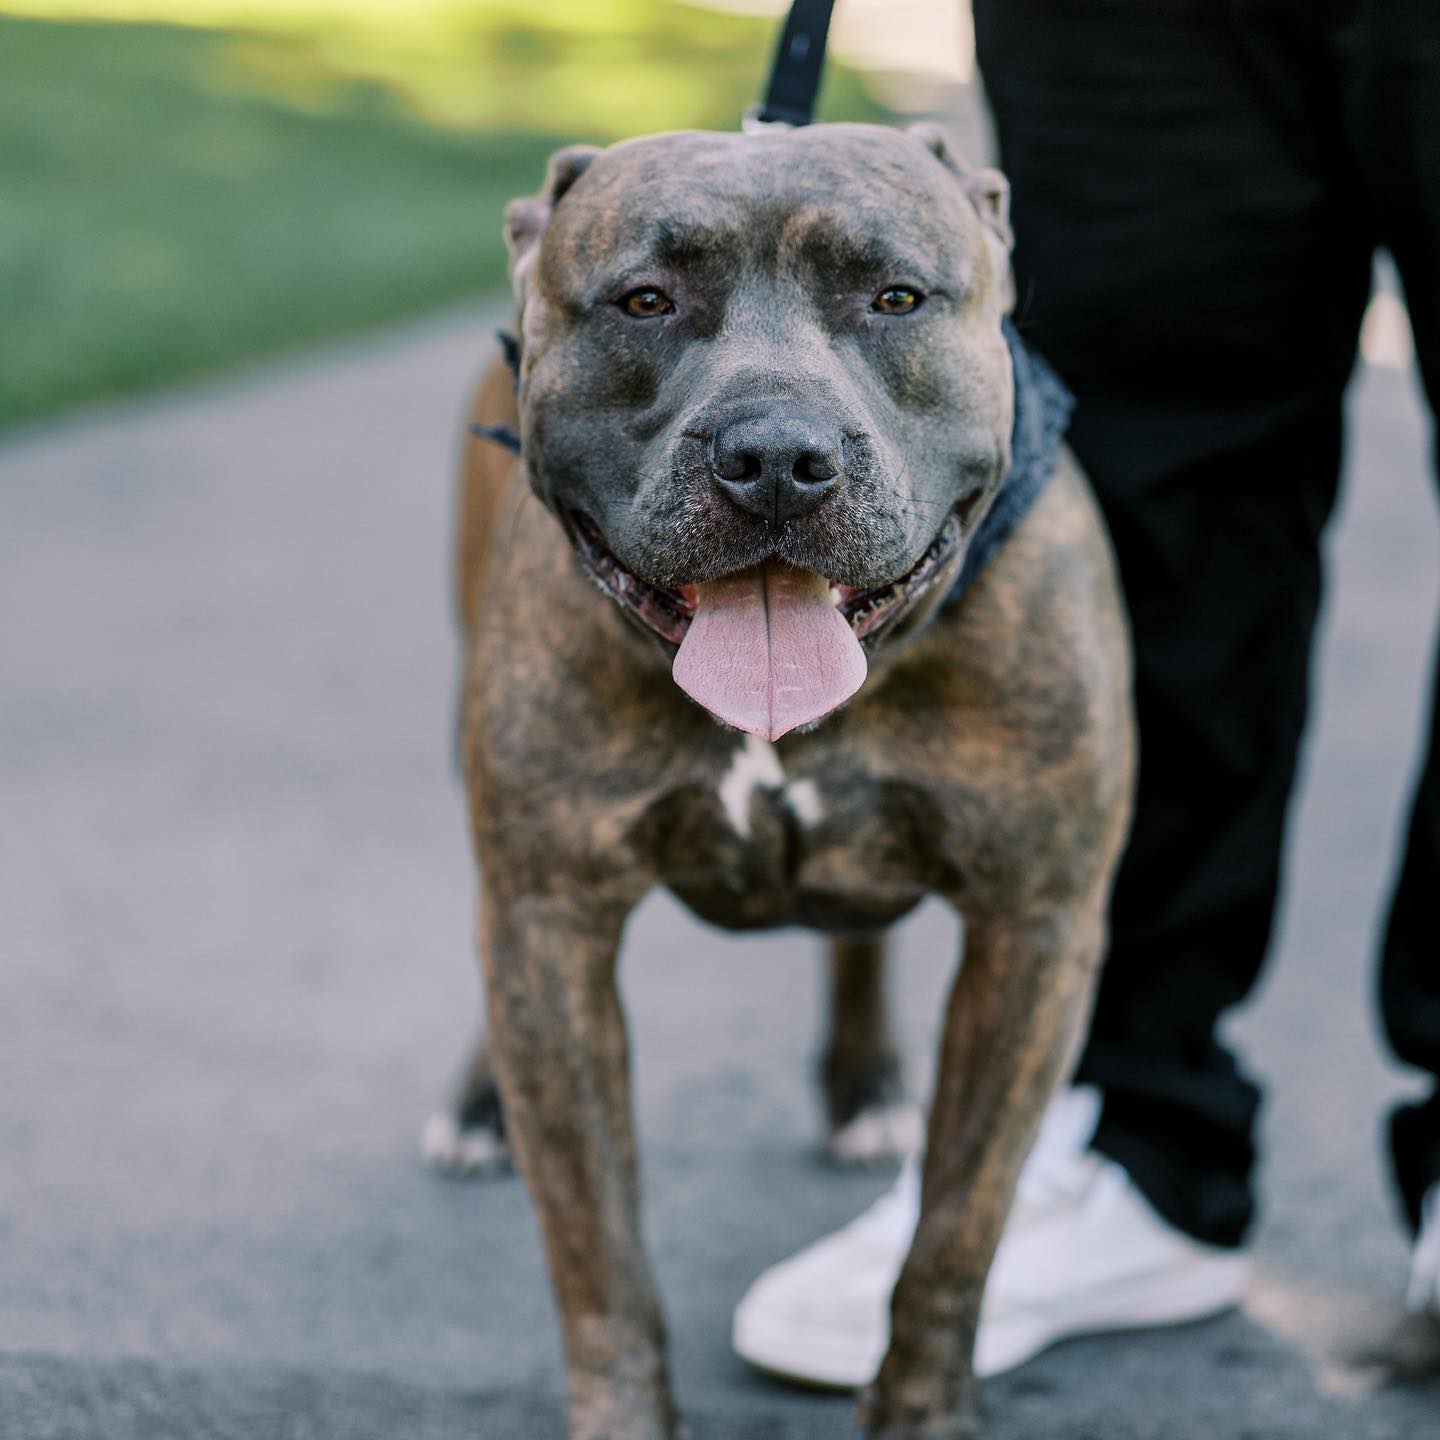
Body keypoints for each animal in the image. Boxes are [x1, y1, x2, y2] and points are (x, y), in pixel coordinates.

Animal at [437, 120, 1134, 1440]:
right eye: (646, 301)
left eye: (895, 298)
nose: (772, 455)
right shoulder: (551, 917)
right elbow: (597, 1250)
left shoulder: (1036, 928)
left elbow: (956, 1231)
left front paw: (922, 1411)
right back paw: (476, 1106)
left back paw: (866, 1088)